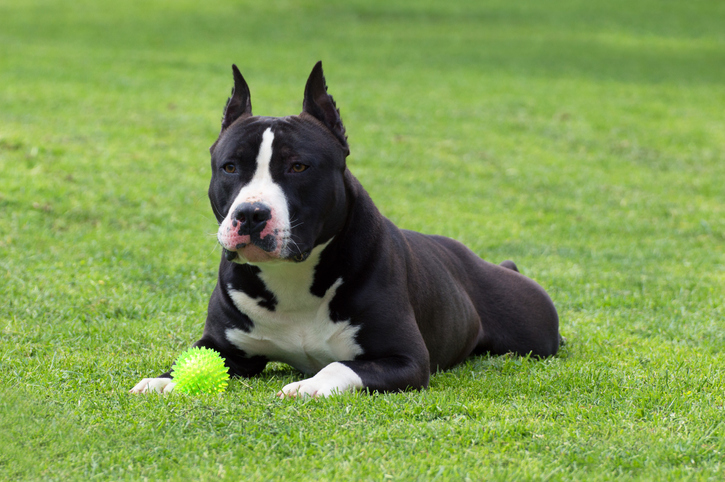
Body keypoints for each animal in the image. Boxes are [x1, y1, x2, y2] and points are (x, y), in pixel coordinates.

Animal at [130, 61, 560, 400]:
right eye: (230, 167)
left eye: (298, 166)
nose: (251, 214)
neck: (292, 278)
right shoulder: (222, 346)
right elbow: (192, 359)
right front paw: (164, 381)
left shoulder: (405, 358)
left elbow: (341, 366)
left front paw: (308, 385)